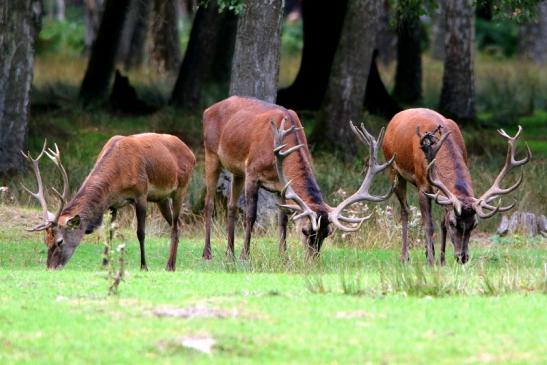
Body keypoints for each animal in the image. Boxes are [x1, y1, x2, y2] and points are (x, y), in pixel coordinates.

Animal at [22, 134, 197, 270]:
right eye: (46, 240)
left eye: (60, 241)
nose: (50, 267)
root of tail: (192, 154)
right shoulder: (113, 204)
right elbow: (109, 233)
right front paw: (104, 263)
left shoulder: (141, 195)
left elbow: (140, 233)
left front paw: (144, 266)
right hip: (162, 198)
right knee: (178, 225)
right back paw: (173, 263)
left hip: (182, 187)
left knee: (174, 226)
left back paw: (169, 265)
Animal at [201, 95, 394, 258]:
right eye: (305, 231)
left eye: (327, 233)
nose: (312, 261)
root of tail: (208, 109)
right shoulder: (252, 173)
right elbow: (251, 215)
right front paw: (245, 256)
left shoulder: (281, 186)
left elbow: (283, 219)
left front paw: (284, 258)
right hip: (211, 153)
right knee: (209, 203)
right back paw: (208, 253)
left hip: (237, 170)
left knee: (231, 205)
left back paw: (229, 253)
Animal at [382, 108, 532, 264]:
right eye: (453, 223)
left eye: (474, 224)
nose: (462, 257)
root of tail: (395, 117)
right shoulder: (423, 185)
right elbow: (428, 225)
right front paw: (431, 261)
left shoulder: (443, 196)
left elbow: (442, 223)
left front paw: (442, 260)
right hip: (392, 169)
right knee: (405, 209)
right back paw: (405, 257)